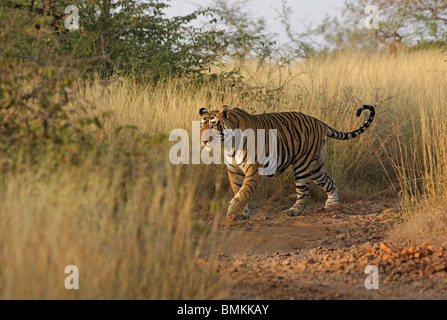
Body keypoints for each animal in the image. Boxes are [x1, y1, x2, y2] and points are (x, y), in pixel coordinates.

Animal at [200, 104, 374, 220]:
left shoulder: (253, 170)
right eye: (202, 126)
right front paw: (242, 212)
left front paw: (233, 211)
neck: (229, 143)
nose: (203, 141)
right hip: (316, 168)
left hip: (303, 166)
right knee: (330, 182)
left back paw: (293, 211)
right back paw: (333, 206)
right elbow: (238, 190)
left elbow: (244, 191)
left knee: (304, 194)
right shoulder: (234, 171)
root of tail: (319, 122)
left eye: (214, 125)